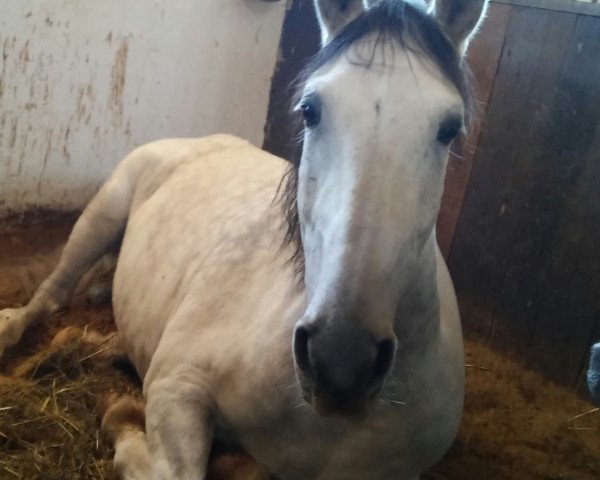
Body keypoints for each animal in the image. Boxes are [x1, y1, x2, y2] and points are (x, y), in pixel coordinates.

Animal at [0, 0, 488, 478]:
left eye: (450, 128)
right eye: (310, 110)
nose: (341, 361)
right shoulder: (178, 385)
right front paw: (119, 417)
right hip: (100, 216)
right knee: (52, 294)